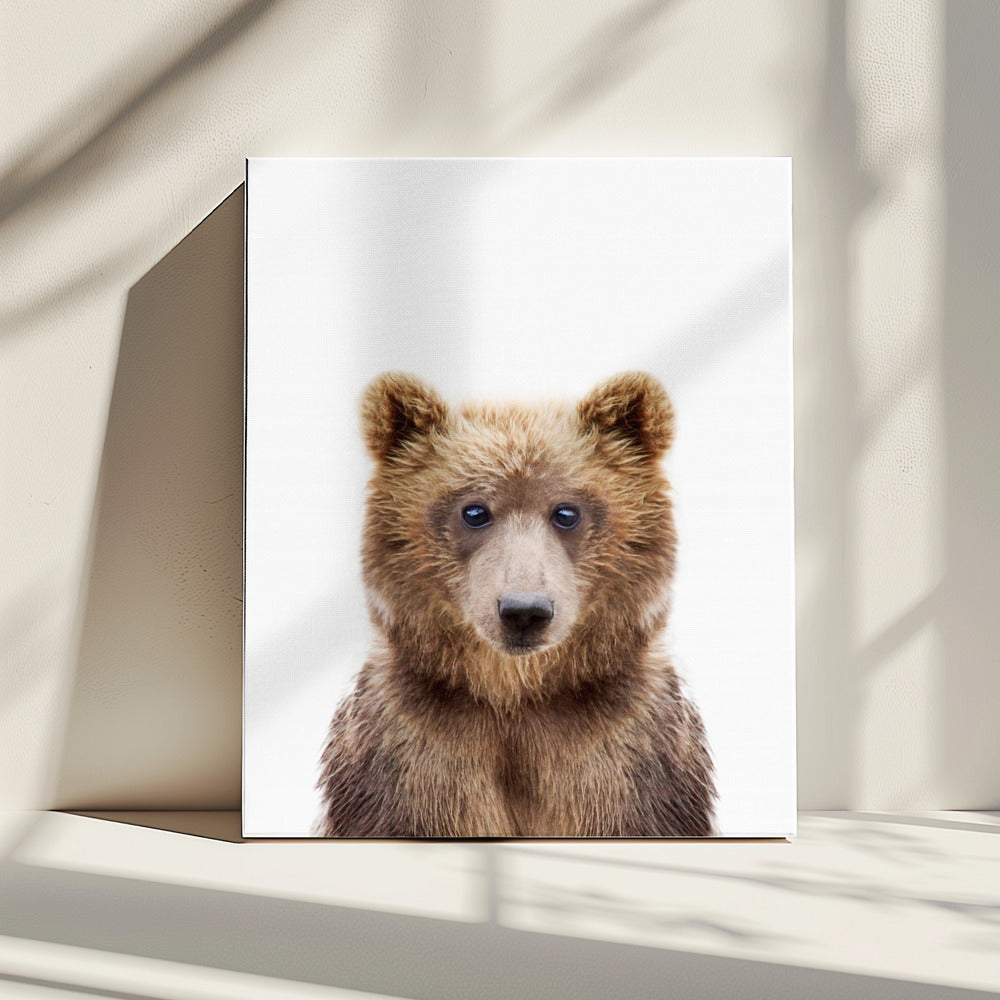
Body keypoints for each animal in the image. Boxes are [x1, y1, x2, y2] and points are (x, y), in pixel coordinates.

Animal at [315, 371, 716, 838]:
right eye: (474, 511)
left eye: (566, 512)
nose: (524, 611)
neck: (516, 695)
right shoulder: (409, 756)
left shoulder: (629, 757)